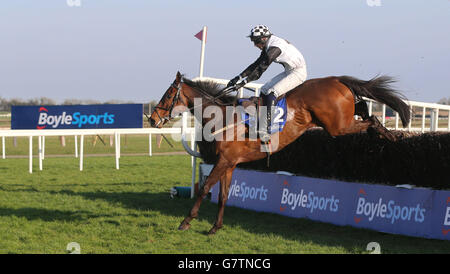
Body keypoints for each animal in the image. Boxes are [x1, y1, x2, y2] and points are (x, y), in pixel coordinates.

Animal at [149, 71, 410, 234]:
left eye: (168, 94)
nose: (152, 119)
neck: (222, 117)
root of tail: (336, 79)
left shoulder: (224, 160)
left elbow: (204, 188)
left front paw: (186, 221)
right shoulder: (230, 163)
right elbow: (223, 196)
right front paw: (215, 227)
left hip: (338, 126)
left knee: (371, 119)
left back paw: (389, 135)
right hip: (341, 119)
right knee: (364, 109)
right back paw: (389, 133)